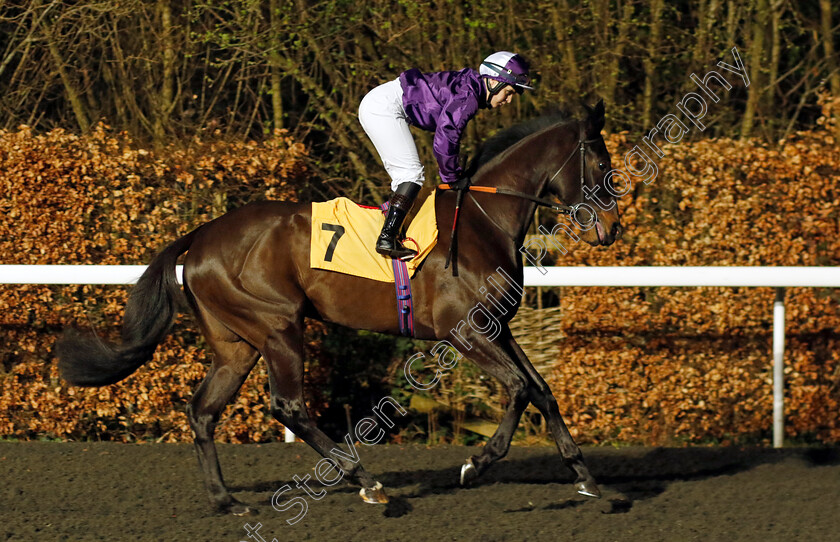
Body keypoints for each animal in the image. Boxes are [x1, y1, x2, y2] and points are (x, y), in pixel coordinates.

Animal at [59, 100, 620, 516]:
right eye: (602, 164)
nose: (611, 229)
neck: (485, 219)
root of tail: (200, 235)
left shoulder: (497, 327)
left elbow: (542, 390)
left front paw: (589, 480)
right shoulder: (464, 332)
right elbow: (521, 389)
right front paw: (476, 464)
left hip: (236, 344)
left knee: (203, 411)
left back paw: (226, 501)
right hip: (278, 326)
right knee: (288, 405)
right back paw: (365, 481)